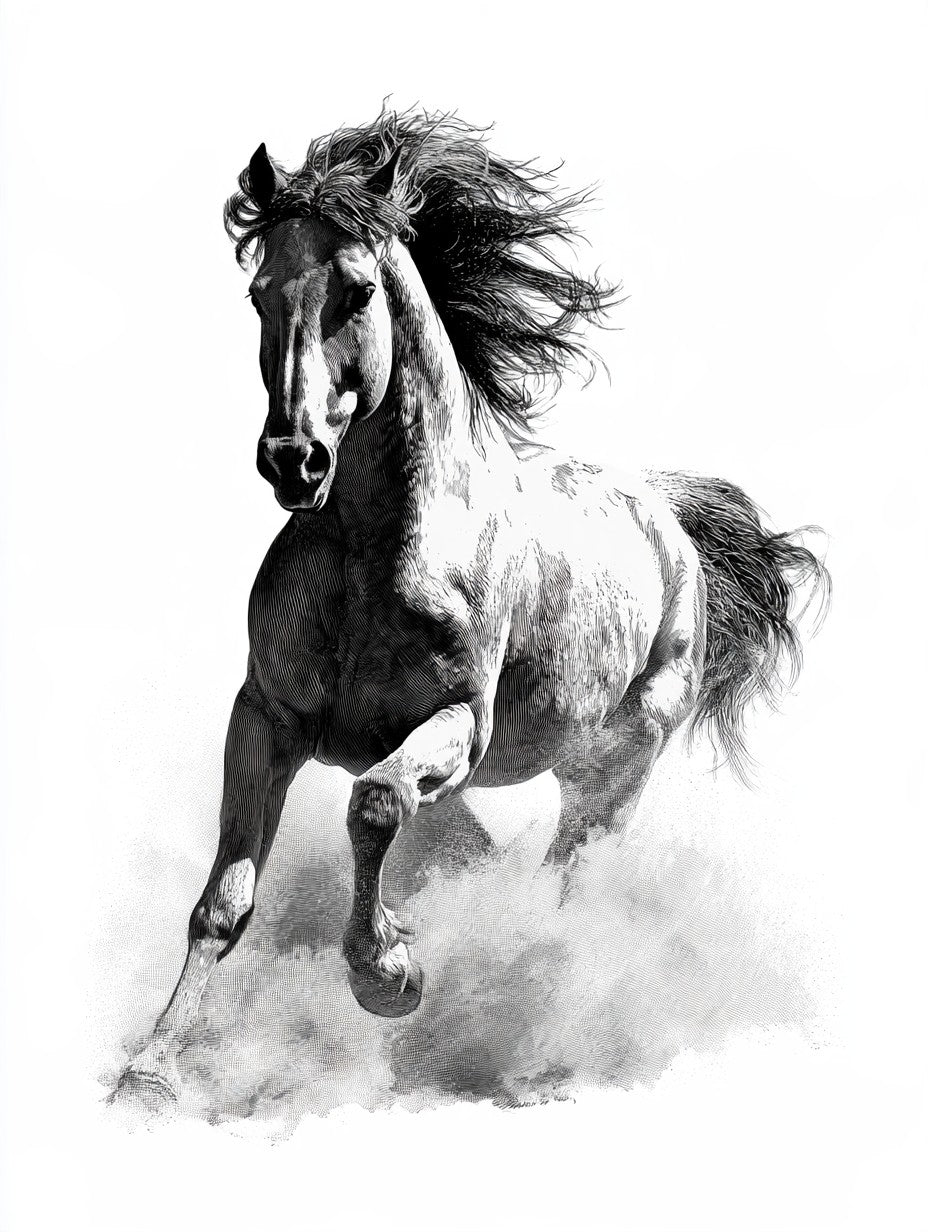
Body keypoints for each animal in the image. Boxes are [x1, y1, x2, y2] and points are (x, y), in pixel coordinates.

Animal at [114, 110, 828, 1107]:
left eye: (357, 291)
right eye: (258, 294)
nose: (293, 460)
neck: (370, 555)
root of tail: (667, 519)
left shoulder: (459, 725)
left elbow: (376, 805)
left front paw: (389, 979)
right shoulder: (267, 720)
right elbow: (225, 900)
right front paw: (148, 1076)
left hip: (612, 772)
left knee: (565, 887)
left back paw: (537, 1038)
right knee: (483, 855)